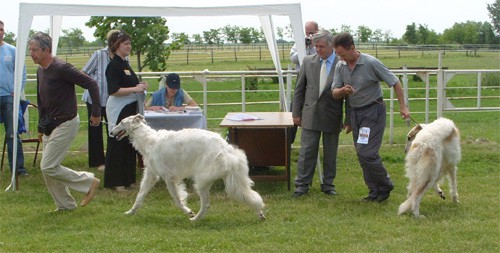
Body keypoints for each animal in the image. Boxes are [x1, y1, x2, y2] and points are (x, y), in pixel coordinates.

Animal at [110, 113, 266, 220]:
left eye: (121, 122)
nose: (111, 133)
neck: (149, 141)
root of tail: (225, 147)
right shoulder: (151, 175)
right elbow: (139, 197)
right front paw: (130, 212)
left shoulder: (169, 178)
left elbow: (178, 200)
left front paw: (188, 211)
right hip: (234, 180)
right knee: (250, 195)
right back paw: (260, 213)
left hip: (202, 181)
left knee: (206, 204)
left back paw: (195, 218)